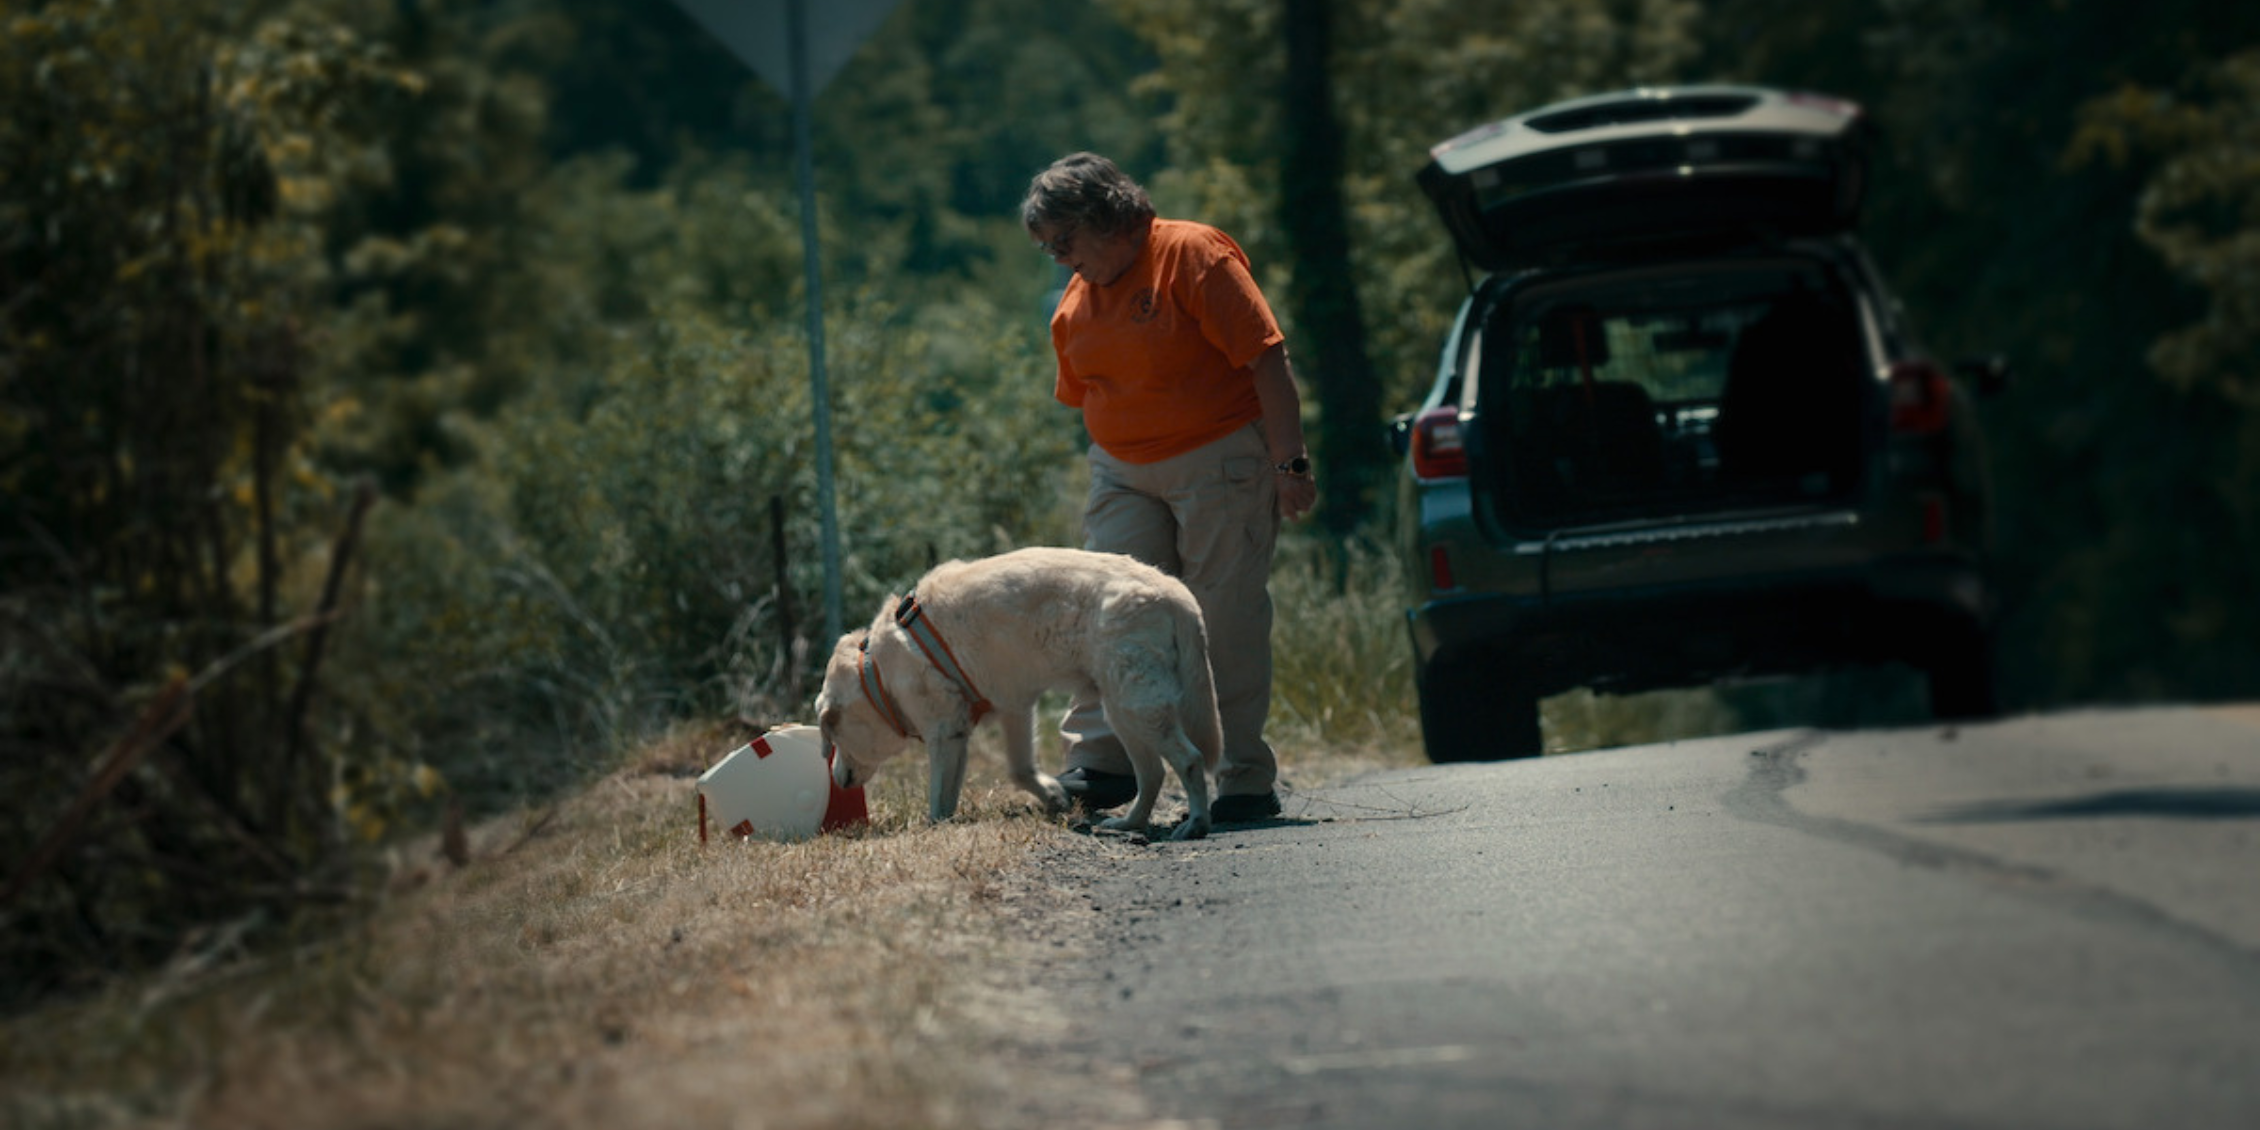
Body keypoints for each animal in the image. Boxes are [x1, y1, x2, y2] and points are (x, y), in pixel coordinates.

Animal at [822, 546, 1229, 840]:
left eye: (834, 735)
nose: (836, 778)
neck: (877, 673)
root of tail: (1177, 594)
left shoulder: (944, 731)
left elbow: (938, 795)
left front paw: (933, 828)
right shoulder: (1011, 708)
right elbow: (1017, 770)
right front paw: (1053, 795)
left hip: (1138, 707)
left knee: (1190, 760)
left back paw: (1196, 823)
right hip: (1121, 710)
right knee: (1153, 774)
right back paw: (1129, 823)